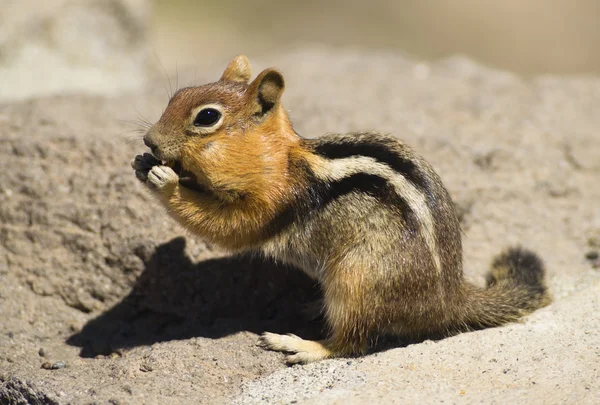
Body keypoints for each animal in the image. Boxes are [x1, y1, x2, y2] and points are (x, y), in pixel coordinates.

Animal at [131, 54, 548, 362]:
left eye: (207, 117)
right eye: (177, 95)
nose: (149, 139)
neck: (280, 159)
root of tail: (449, 301)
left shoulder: (273, 203)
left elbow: (229, 227)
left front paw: (164, 181)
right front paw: (143, 163)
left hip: (356, 279)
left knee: (351, 343)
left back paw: (300, 344)